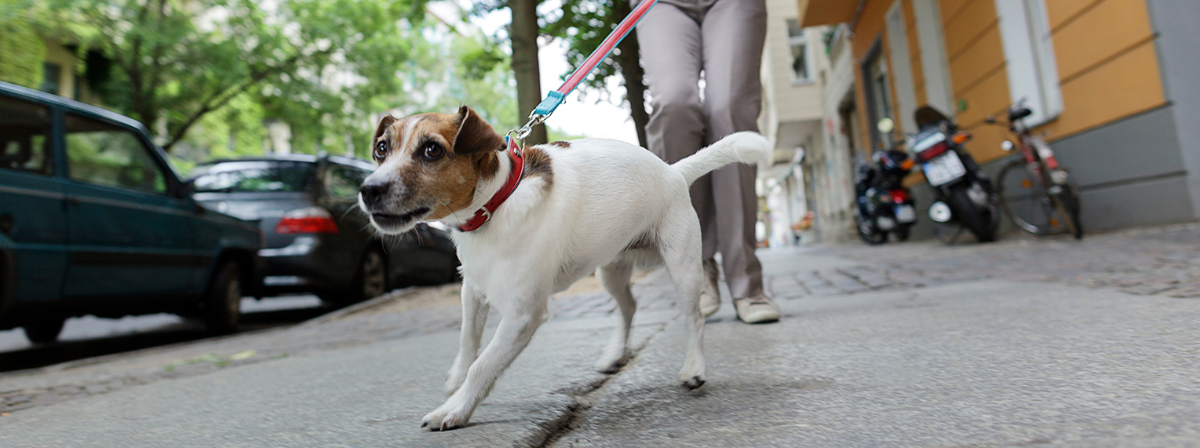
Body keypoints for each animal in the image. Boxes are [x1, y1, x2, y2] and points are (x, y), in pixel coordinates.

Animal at [357, 105, 768, 429]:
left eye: (432, 150)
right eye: (381, 149)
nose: (367, 190)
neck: (497, 204)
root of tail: (673, 171)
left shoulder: (523, 315)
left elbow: (484, 364)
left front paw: (455, 409)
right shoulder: (472, 290)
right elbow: (467, 341)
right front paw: (456, 381)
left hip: (683, 268)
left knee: (694, 318)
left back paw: (694, 369)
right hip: (610, 269)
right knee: (629, 306)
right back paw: (614, 353)